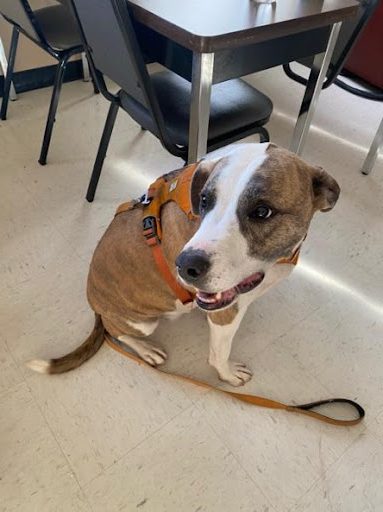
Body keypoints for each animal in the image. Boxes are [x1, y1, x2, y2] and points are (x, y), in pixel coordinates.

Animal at [28, 142, 340, 386]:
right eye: (204, 200)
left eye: (262, 211)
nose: (185, 265)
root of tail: (93, 302)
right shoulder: (226, 313)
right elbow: (219, 353)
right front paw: (227, 375)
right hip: (142, 323)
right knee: (115, 332)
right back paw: (146, 350)